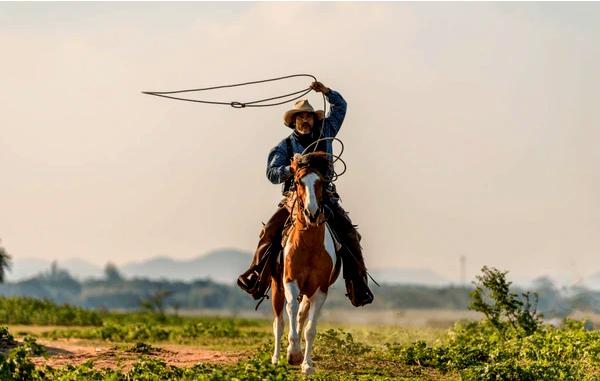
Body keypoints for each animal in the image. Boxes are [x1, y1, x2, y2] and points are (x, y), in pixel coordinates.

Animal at [270, 151, 340, 374]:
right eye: (299, 181)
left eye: (321, 182)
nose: (312, 213)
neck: (309, 244)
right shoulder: (290, 280)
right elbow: (290, 309)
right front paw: (292, 353)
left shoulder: (320, 288)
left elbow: (310, 329)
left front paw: (306, 364)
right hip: (276, 286)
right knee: (279, 321)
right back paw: (276, 358)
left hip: (308, 291)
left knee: (301, 315)